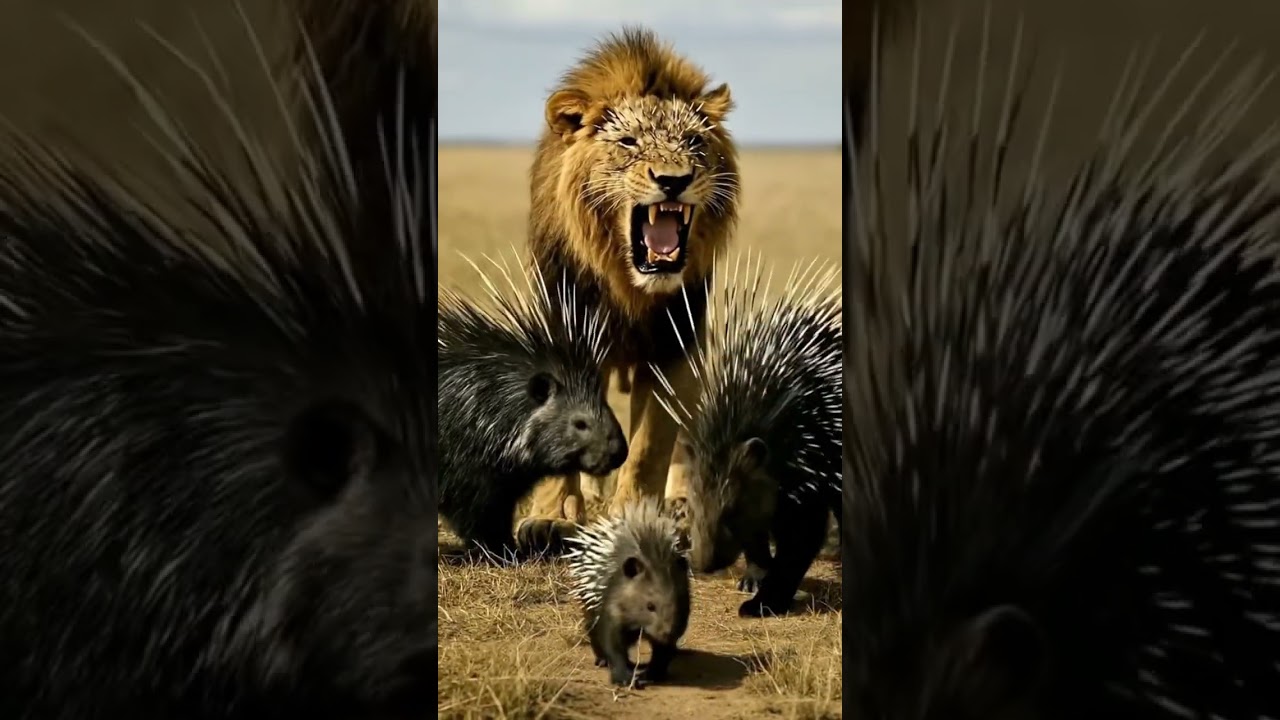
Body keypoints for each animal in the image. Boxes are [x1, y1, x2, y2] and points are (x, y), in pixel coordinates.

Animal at [514, 27, 741, 549]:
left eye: (694, 142)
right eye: (628, 141)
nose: (674, 180)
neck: (626, 283)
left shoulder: (674, 346)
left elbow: (649, 448)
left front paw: (635, 515)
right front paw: (550, 516)